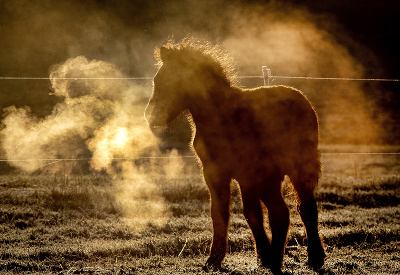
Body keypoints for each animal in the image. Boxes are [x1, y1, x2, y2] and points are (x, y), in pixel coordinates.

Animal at [144, 40, 324, 274]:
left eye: (169, 80)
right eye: (157, 79)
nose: (151, 116)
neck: (221, 116)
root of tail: (301, 100)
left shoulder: (242, 175)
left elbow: (245, 214)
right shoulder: (220, 174)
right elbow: (231, 214)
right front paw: (230, 258)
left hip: (288, 171)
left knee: (287, 212)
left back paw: (288, 260)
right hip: (276, 176)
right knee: (299, 209)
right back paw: (305, 258)